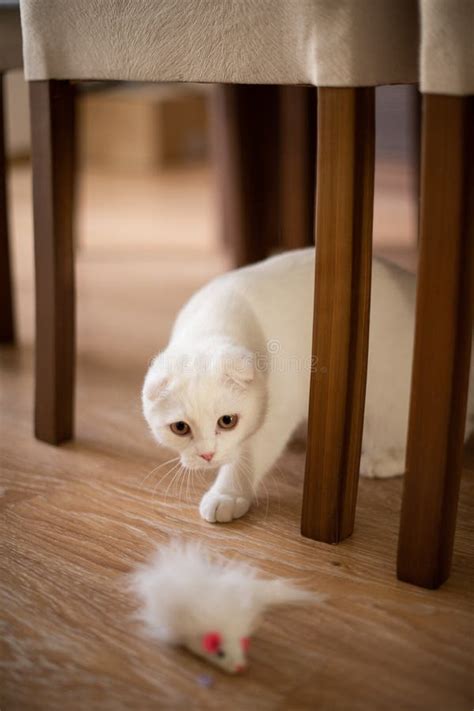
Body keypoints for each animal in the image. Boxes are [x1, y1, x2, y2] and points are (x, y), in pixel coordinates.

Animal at [143, 249, 474, 524]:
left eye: (227, 421)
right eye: (180, 428)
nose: (207, 456)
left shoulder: (278, 411)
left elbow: (248, 456)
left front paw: (228, 495)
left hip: (389, 400)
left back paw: (382, 460)